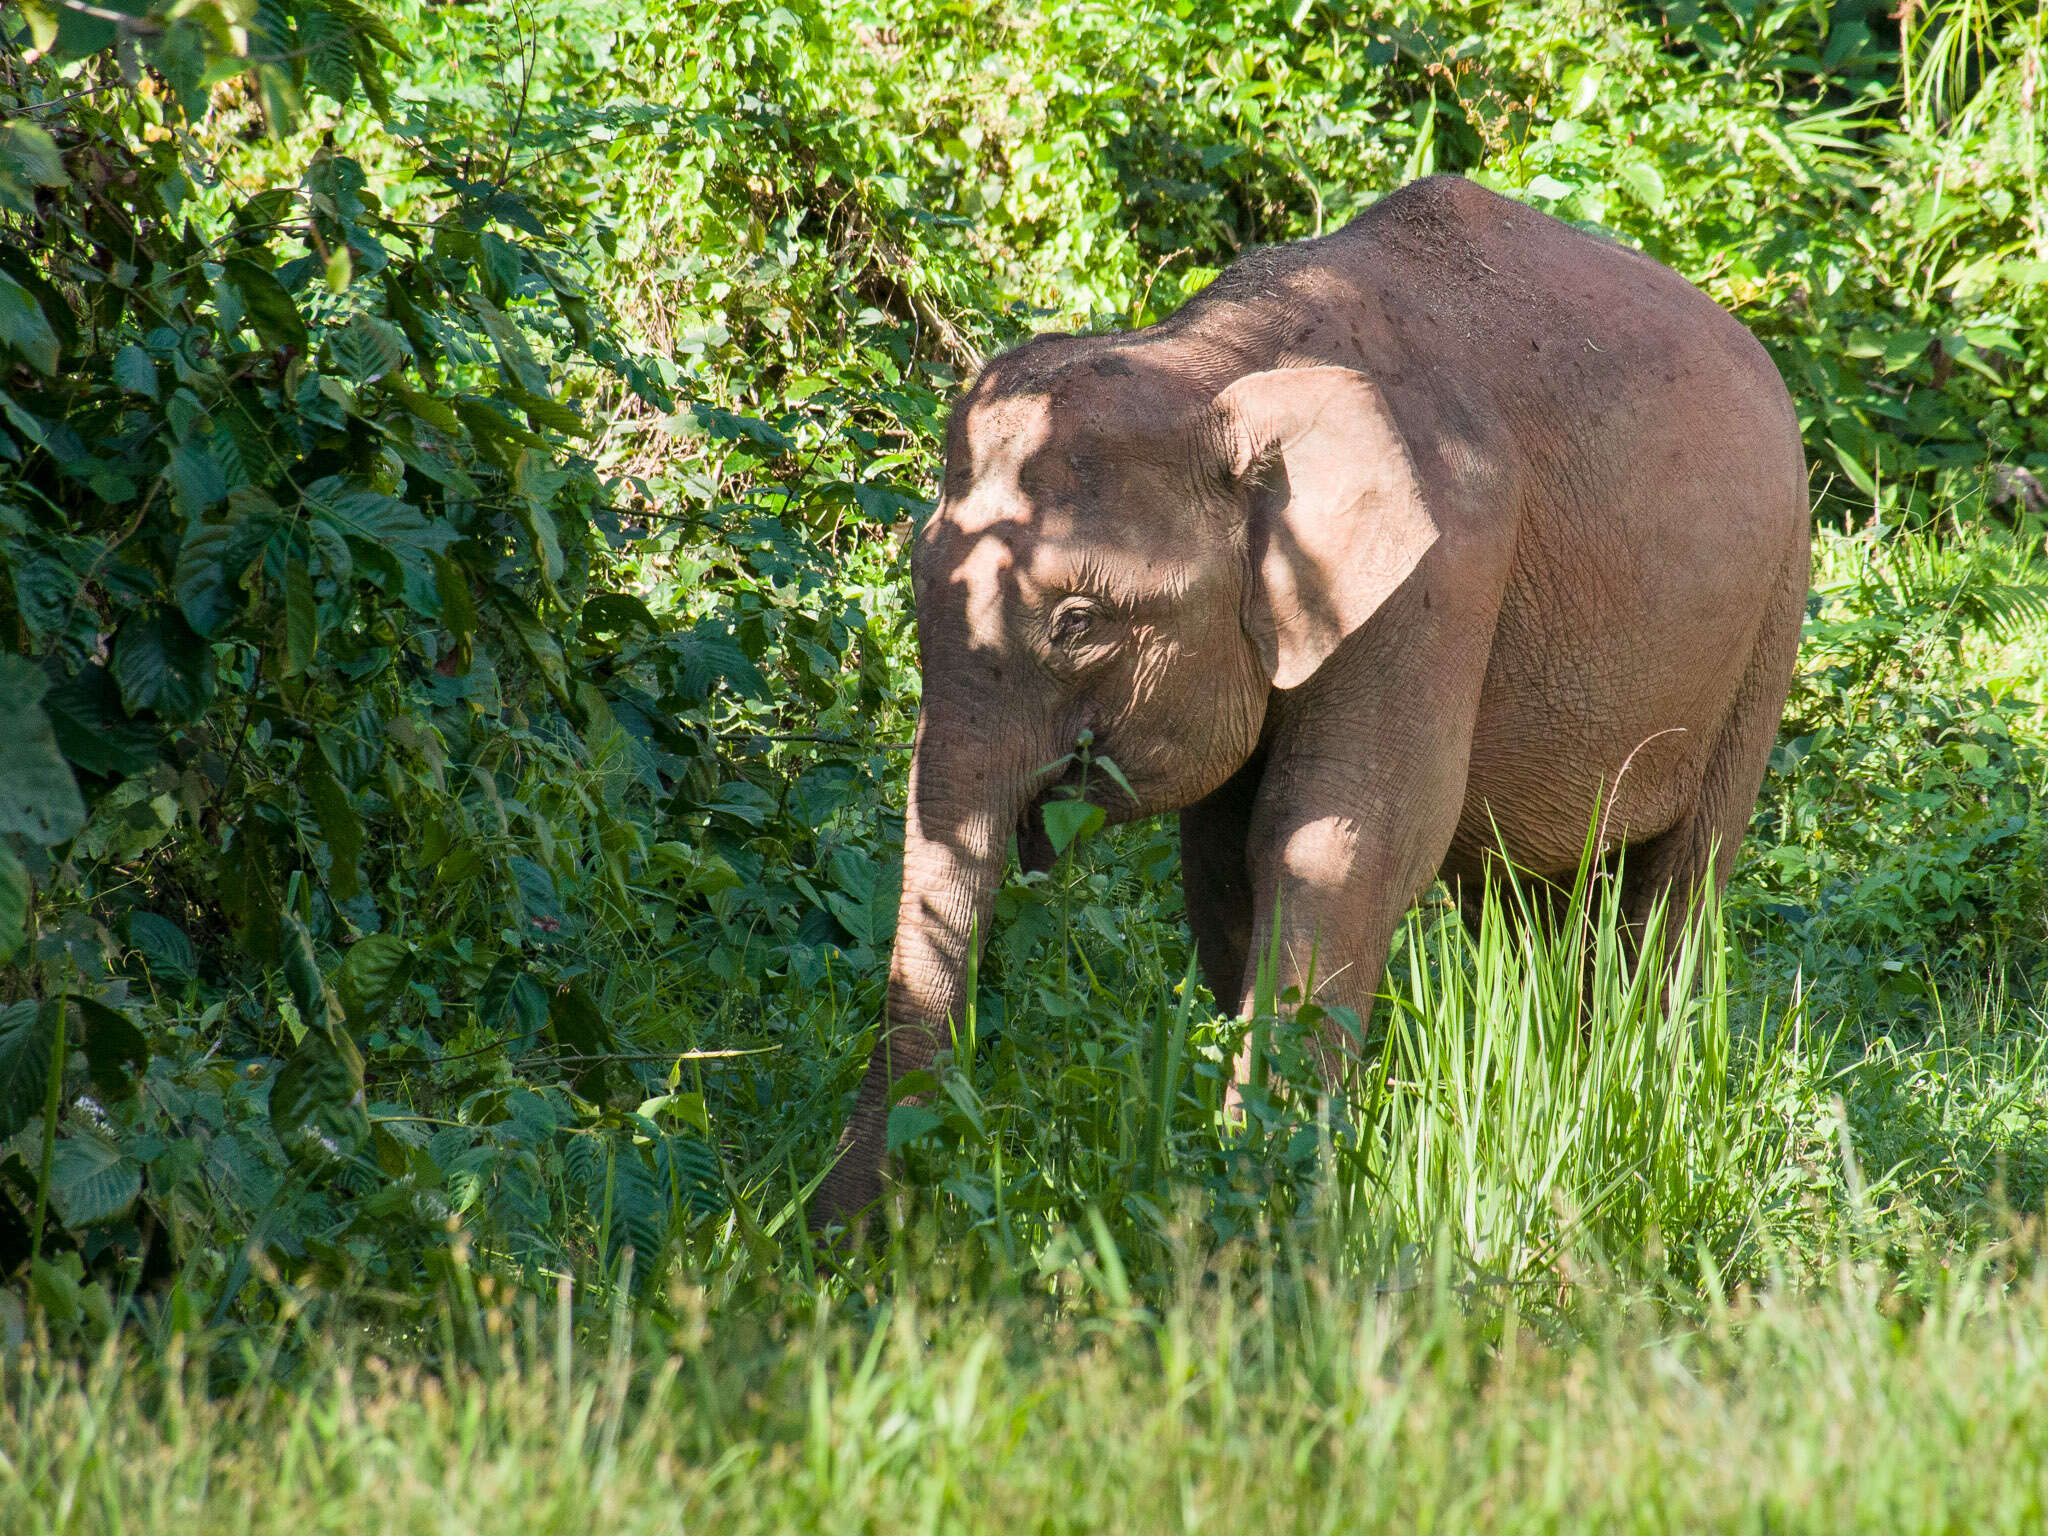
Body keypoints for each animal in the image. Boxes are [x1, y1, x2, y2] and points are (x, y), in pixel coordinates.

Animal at [811, 177, 1810, 1236]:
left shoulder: (1440, 570)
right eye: (915, 582)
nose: (842, 1244)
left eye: (1079, 623)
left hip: (1772, 617)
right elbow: (1224, 860)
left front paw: (1258, 1205)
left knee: (1675, 884)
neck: (1214, 362)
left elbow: (1338, 838)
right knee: (1526, 897)